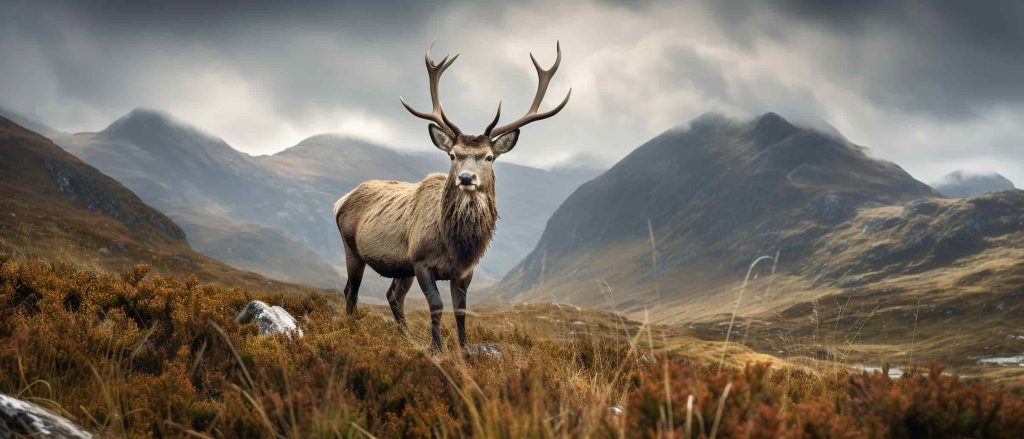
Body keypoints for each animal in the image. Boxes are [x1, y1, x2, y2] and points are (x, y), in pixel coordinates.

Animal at [333, 42, 570, 351]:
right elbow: (436, 305)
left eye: (489, 157)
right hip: (352, 248)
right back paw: (351, 328)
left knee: (392, 296)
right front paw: (437, 347)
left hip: (401, 267)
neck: (456, 245)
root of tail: (341, 200)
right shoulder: (421, 260)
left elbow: (461, 309)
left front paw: (464, 349)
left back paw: (405, 336)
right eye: (453, 155)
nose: (466, 178)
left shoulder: (464, 271)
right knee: (351, 289)